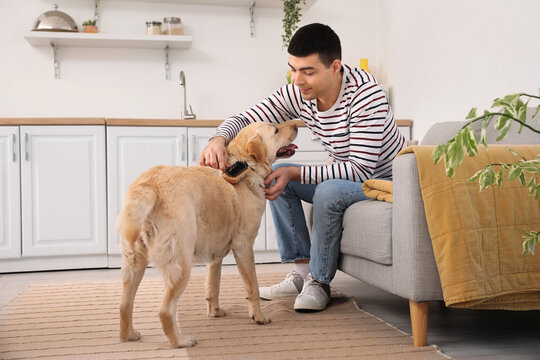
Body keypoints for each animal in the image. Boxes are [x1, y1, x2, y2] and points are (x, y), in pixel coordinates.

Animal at [117, 121, 300, 348]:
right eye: (275, 129)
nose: (297, 124)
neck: (246, 167)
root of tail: (150, 185)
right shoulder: (244, 247)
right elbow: (253, 288)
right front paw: (259, 317)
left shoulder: (215, 257)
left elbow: (213, 286)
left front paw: (215, 312)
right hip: (181, 265)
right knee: (165, 311)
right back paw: (181, 341)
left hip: (133, 263)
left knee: (124, 305)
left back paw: (129, 335)